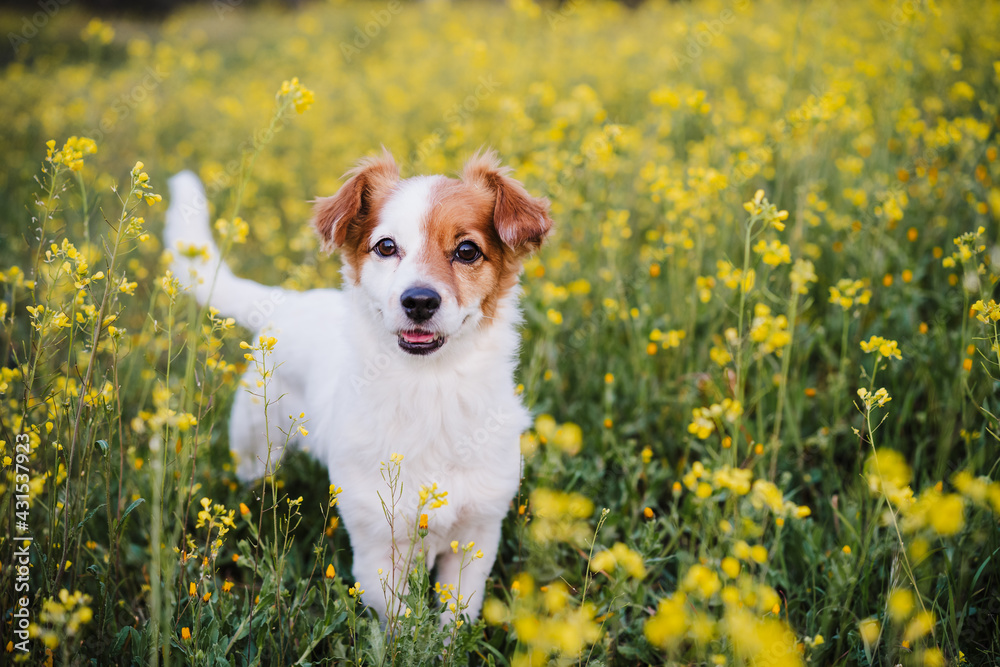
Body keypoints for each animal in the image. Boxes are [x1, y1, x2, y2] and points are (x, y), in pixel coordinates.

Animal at [165, 150, 556, 620]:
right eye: (386, 246)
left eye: (467, 251)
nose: (419, 301)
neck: (430, 390)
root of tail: (287, 301)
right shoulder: (376, 549)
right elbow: (398, 626)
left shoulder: (477, 536)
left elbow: (453, 621)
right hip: (254, 451)